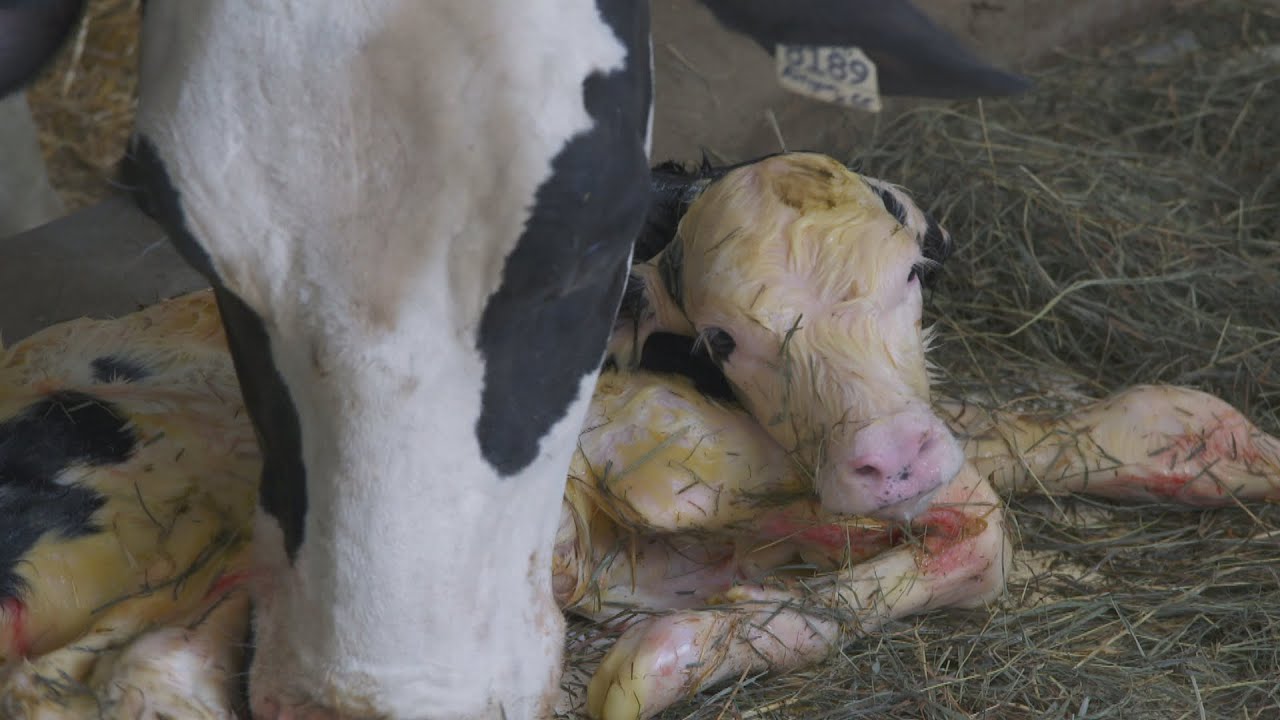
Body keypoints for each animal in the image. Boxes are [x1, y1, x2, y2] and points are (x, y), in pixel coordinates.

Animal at [0, 1, 1028, 717]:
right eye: (724, 336)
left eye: (910, 276)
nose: (892, 456)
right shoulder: (658, 462)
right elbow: (980, 519)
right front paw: (669, 655)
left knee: (134, 666)